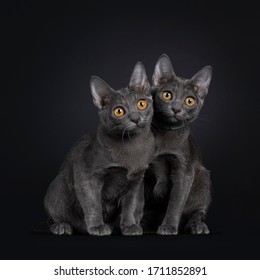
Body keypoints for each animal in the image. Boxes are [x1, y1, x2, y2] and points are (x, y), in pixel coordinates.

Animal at [44, 62, 154, 235]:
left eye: (141, 104)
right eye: (119, 111)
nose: (136, 118)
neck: (133, 146)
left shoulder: (136, 180)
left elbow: (130, 205)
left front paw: (129, 225)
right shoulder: (85, 174)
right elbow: (93, 203)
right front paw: (97, 226)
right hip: (59, 185)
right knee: (55, 214)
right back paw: (62, 226)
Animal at [144, 54, 213, 234]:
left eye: (189, 101)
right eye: (167, 95)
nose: (176, 108)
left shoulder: (184, 169)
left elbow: (176, 201)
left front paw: (168, 226)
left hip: (203, 177)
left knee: (198, 210)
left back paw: (197, 226)